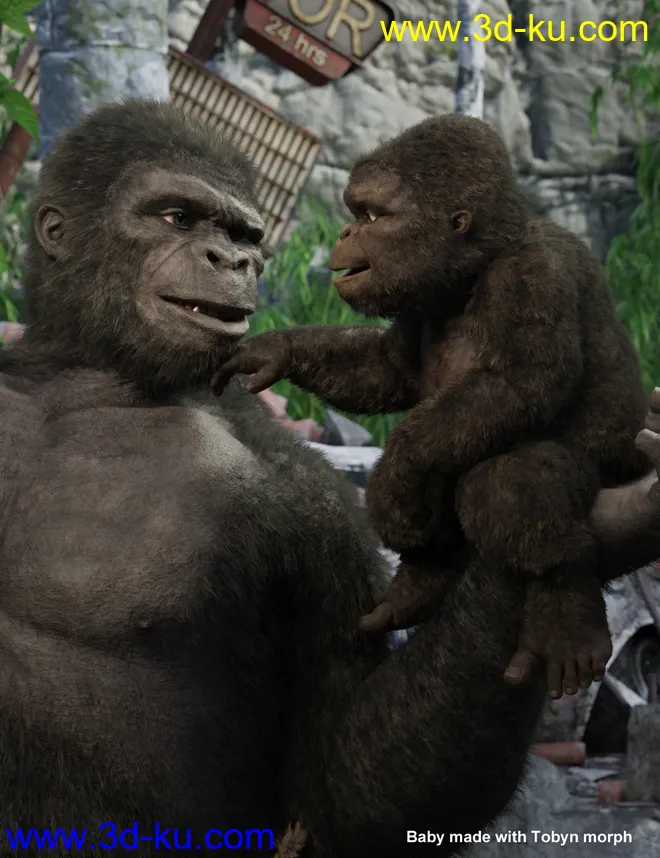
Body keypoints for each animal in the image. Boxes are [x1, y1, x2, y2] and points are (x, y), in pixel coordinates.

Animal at [211, 113, 651, 701]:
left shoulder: (531, 277)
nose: (346, 233)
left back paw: (567, 612)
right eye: (356, 213)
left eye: (372, 216)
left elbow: (521, 384)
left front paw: (395, 476)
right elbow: (384, 369)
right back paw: (421, 580)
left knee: (513, 480)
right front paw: (275, 350)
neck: (471, 274)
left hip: (610, 469)